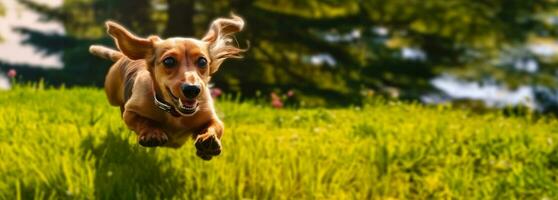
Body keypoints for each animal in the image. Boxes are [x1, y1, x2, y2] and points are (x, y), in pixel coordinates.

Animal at [89, 14, 245, 160]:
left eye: (202, 61)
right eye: (169, 61)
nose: (192, 89)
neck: (175, 113)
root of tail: (123, 56)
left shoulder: (209, 116)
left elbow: (215, 126)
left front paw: (208, 141)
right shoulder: (131, 111)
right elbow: (142, 120)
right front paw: (152, 132)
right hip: (111, 95)